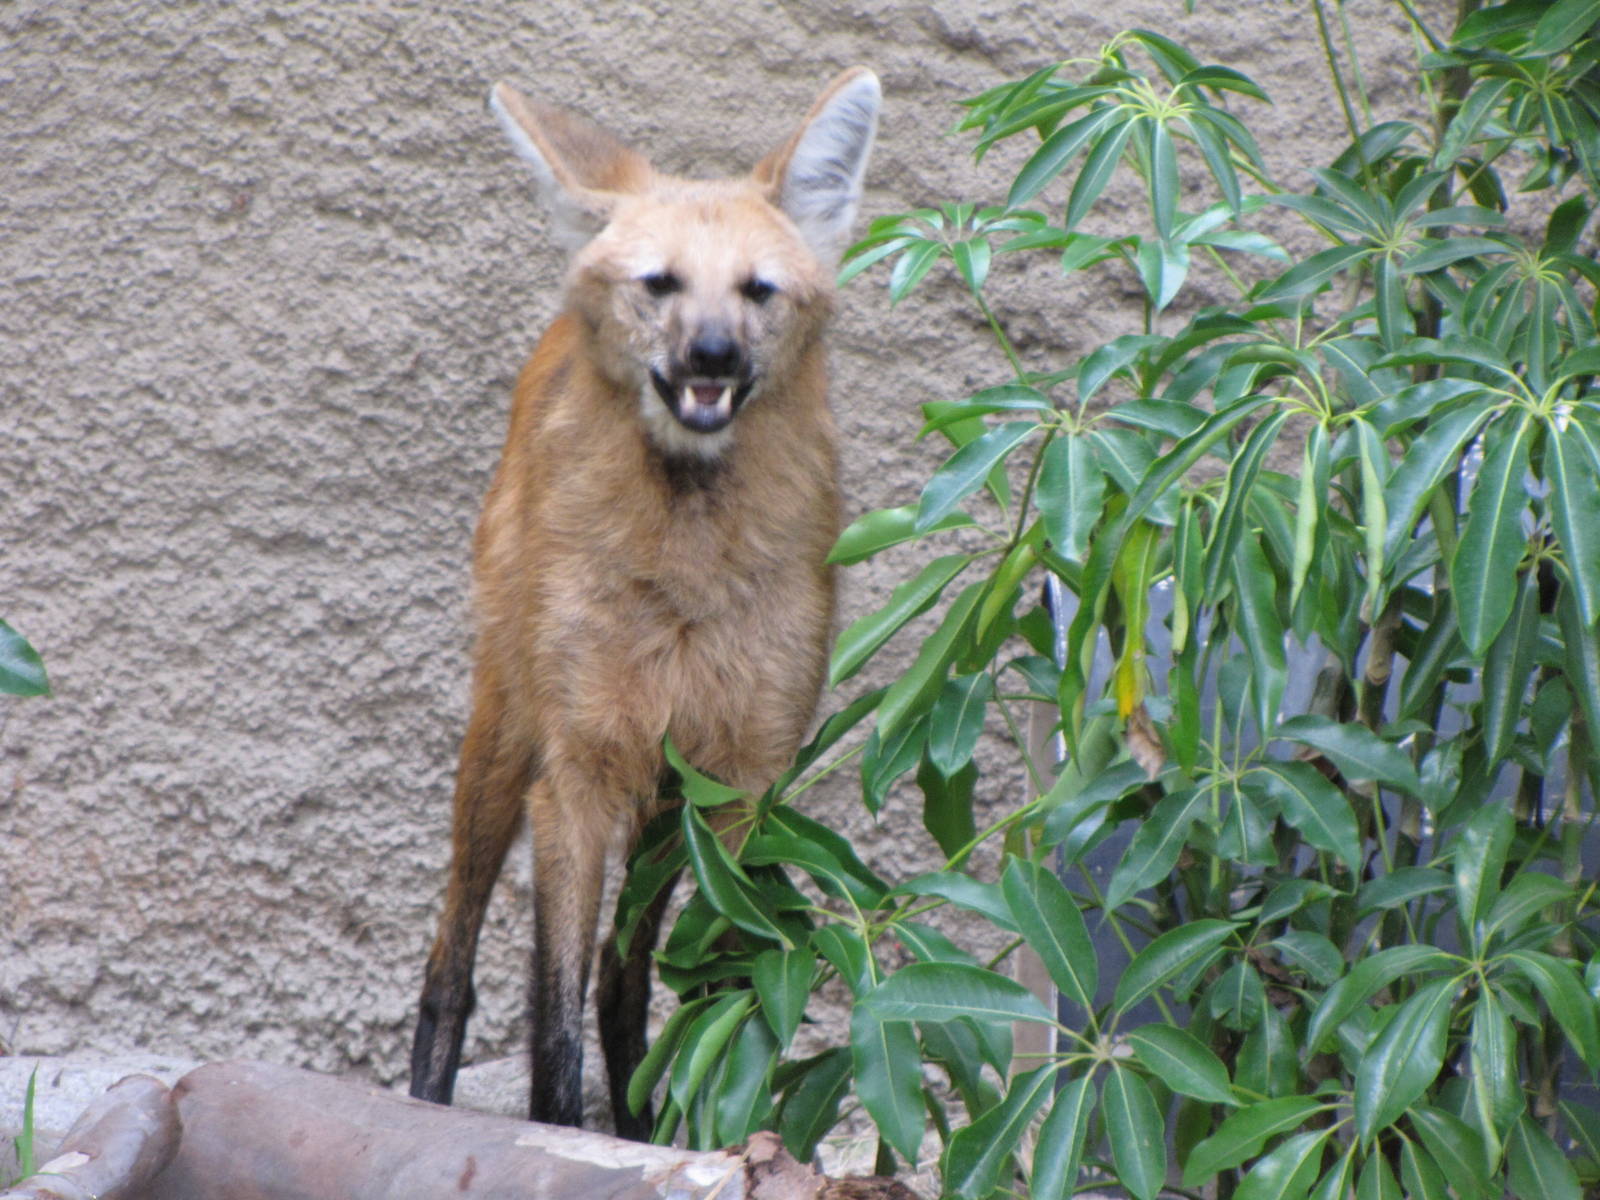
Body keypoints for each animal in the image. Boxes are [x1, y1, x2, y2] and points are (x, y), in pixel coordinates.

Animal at [408, 68, 880, 1137]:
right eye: (660, 283)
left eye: (757, 290)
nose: (710, 354)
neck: (687, 561)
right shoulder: (576, 769)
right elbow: (553, 1019)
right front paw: (561, 1140)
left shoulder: (742, 779)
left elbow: (717, 995)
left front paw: (716, 1132)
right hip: (507, 731)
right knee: (452, 962)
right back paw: (423, 1105)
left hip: (670, 804)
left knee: (624, 979)